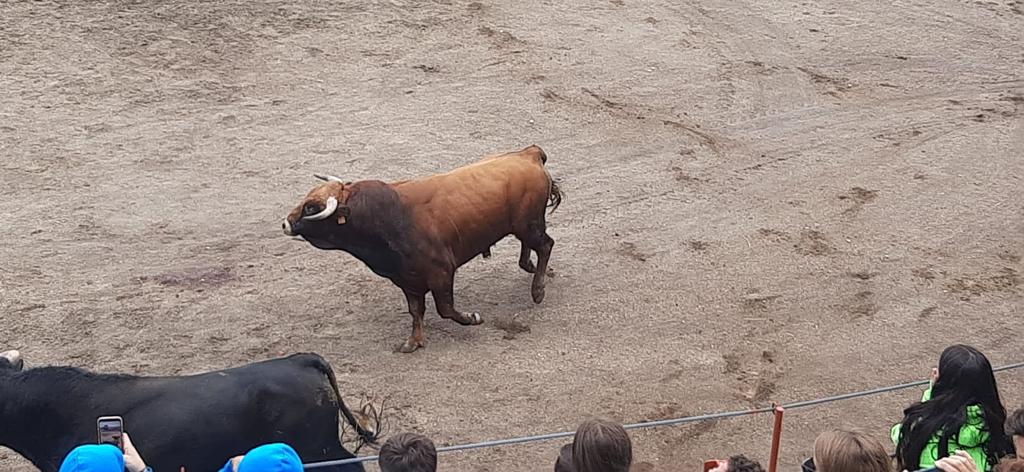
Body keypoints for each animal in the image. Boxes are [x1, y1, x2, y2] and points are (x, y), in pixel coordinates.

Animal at [284, 145, 565, 352]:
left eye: (311, 207)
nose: (286, 223)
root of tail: (529, 154)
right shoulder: (406, 280)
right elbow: (416, 310)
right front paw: (413, 342)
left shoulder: (441, 272)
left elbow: (445, 309)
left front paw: (472, 317)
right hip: (523, 226)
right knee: (530, 249)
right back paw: (531, 269)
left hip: (529, 225)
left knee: (545, 245)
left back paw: (538, 290)